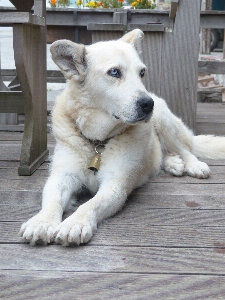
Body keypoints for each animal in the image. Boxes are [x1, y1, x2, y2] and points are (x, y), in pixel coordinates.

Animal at [18, 28, 225, 246]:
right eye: (114, 72)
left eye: (142, 72)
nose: (147, 104)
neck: (98, 142)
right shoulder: (62, 177)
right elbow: (52, 201)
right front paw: (41, 222)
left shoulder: (115, 184)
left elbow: (90, 204)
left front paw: (75, 222)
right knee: (163, 153)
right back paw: (172, 164)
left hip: (164, 121)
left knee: (185, 149)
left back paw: (193, 165)